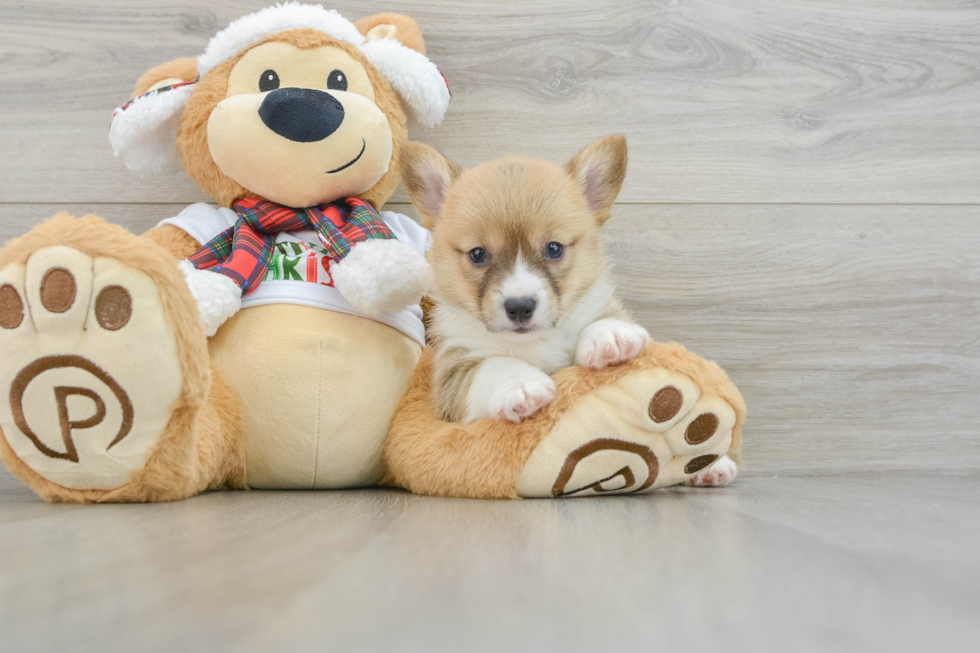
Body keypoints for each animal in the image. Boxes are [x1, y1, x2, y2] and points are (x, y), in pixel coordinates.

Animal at [398, 135, 652, 426]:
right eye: (478, 254)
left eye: (554, 248)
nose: (520, 307)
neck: (531, 343)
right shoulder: (453, 372)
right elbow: (491, 366)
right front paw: (519, 384)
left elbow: (598, 318)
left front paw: (610, 335)